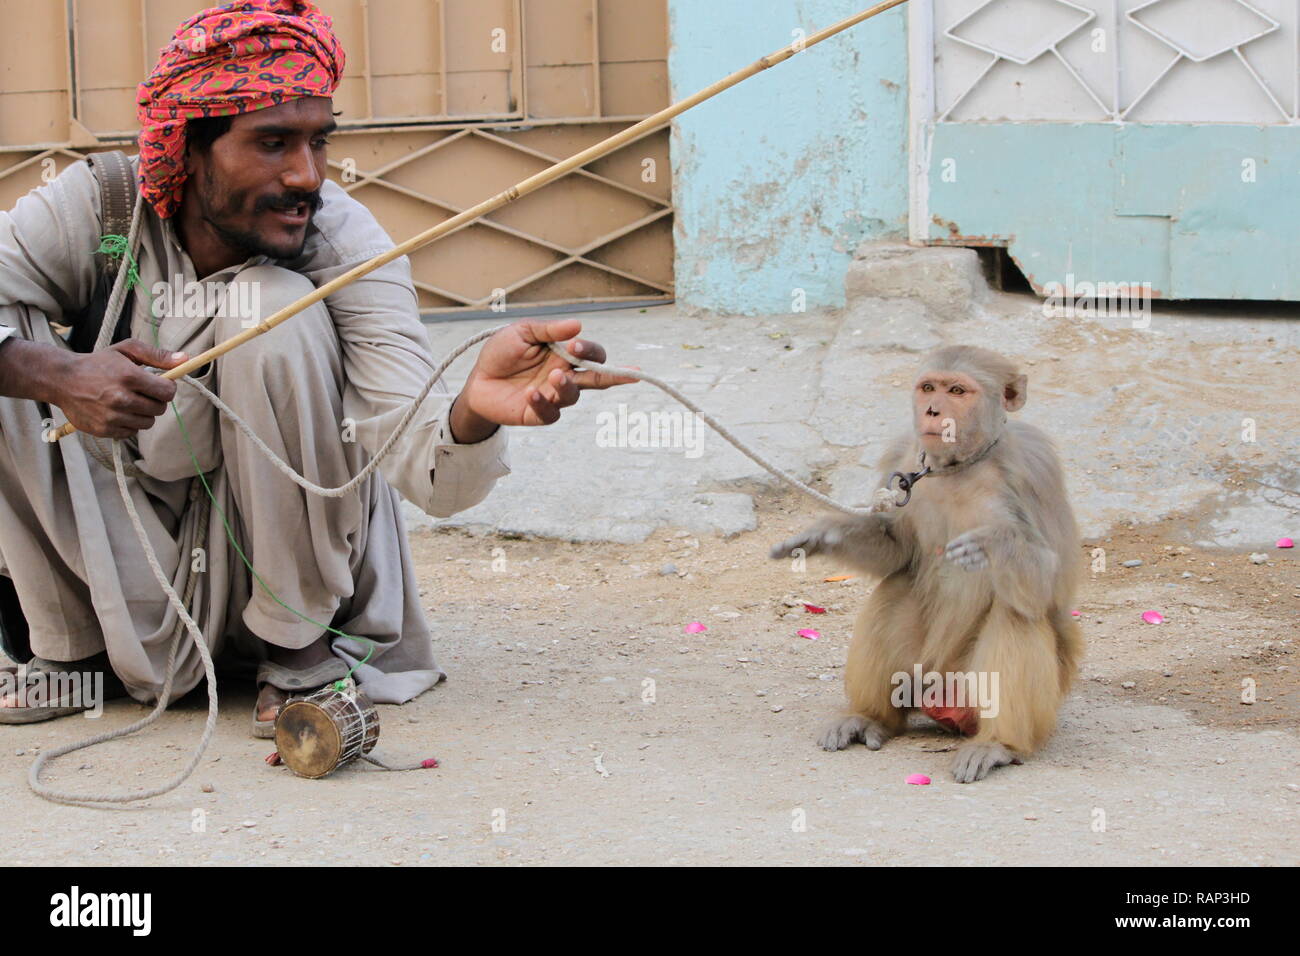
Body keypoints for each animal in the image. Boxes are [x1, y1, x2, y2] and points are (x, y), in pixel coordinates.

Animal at [770, 345, 1082, 782]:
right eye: (929, 388)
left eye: (958, 391)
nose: (933, 411)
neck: (961, 465)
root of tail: (940, 692)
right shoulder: (903, 451)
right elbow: (897, 550)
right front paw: (826, 534)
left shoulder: (1034, 468)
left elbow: (1053, 588)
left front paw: (995, 544)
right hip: (920, 675)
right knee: (896, 587)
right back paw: (872, 717)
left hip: (987, 689)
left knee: (1016, 611)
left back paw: (998, 743)